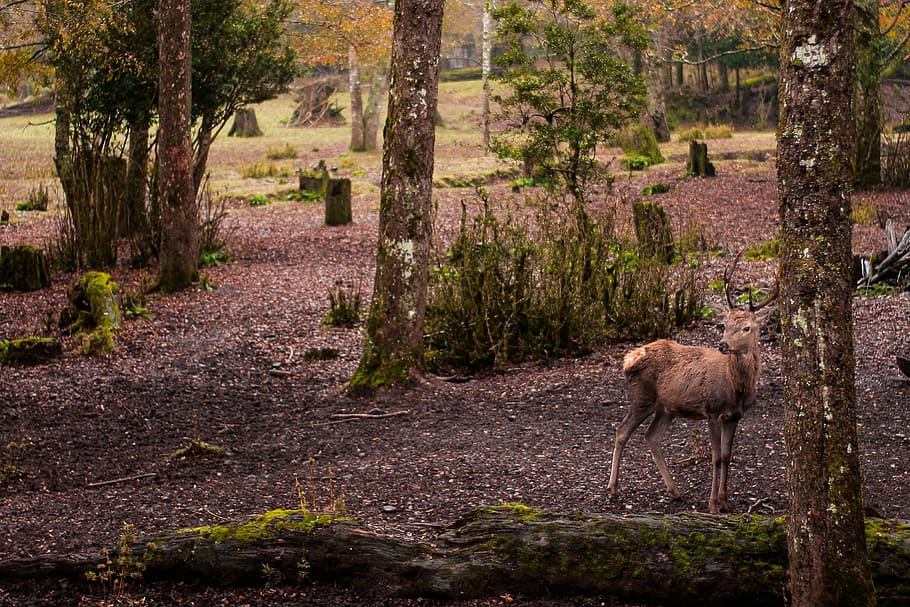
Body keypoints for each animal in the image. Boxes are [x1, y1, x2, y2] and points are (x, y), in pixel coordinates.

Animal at [607, 252, 777, 514]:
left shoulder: (735, 416)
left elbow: (727, 455)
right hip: (642, 397)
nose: (723, 345)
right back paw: (613, 489)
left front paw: (725, 501)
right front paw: (713, 504)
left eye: (747, 327)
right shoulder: (712, 410)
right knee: (621, 431)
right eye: (724, 325)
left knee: (651, 436)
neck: (736, 388)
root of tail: (629, 358)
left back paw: (675, 492)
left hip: (666, 408)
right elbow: (716, 457)